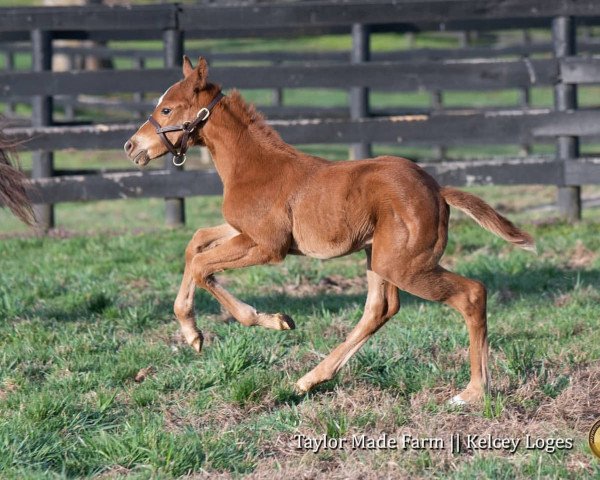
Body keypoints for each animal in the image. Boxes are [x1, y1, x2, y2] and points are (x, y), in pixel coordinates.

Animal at [123, 57, 536, 404]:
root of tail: (437, 189)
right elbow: (195, 244)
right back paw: (309, 379)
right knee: (380, 309)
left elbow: (202, 265)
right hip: (379, 256)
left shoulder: (268, 246)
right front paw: (193, 334)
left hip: (403, 264)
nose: (130, 146)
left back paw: (473, 391)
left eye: (166, 108)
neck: (253, 166)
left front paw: (270, 321)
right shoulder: (242, 231)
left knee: (471, 294)